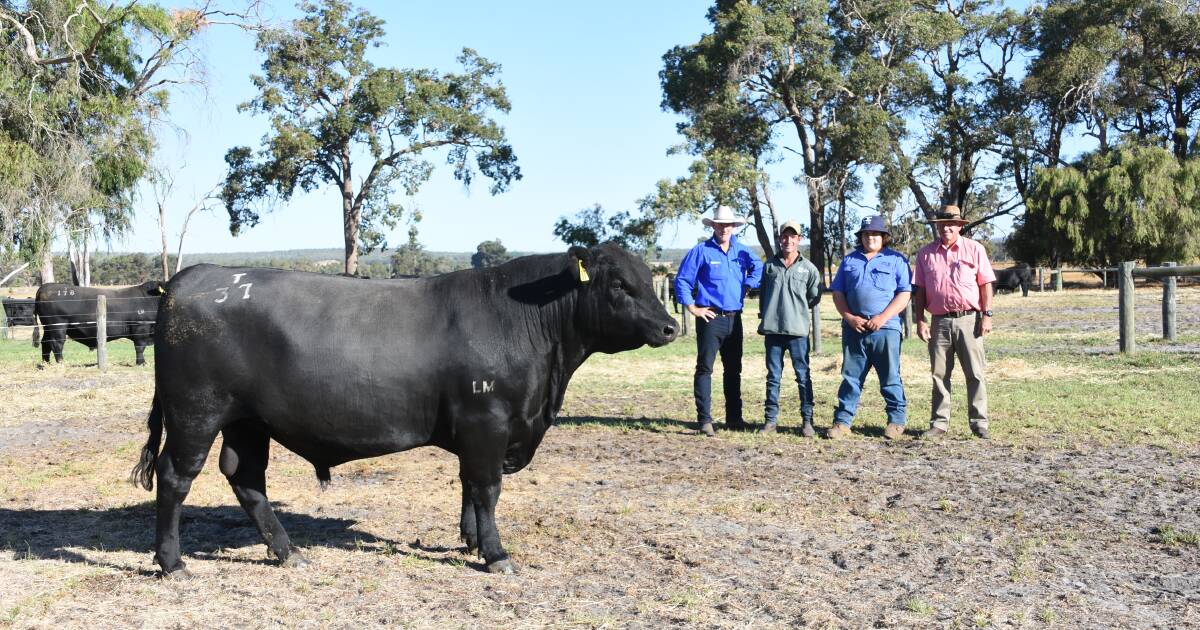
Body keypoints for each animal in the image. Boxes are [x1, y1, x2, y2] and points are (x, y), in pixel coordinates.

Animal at [35, 279, 166, 362]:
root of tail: (46, 287)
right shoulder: (141, 328)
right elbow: (140, 347)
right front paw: (141, 362)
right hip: (58, 326)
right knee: (56, 343)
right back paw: (61, 362)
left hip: (48, 327)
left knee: (45, 343)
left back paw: (46, 363)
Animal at [130, 243, 676, 578]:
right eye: (619, 284)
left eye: (648, 280)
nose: (670, 327)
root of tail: (191, 277)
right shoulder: (487, 421)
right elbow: (486, 487)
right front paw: (496, 554)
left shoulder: (480, 430)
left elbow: (468, 486)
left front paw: (470, 540)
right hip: (197, 413)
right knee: (176, 477)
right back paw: (172, 562)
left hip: (247, 421)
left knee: (246, 478)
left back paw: (288, 553)